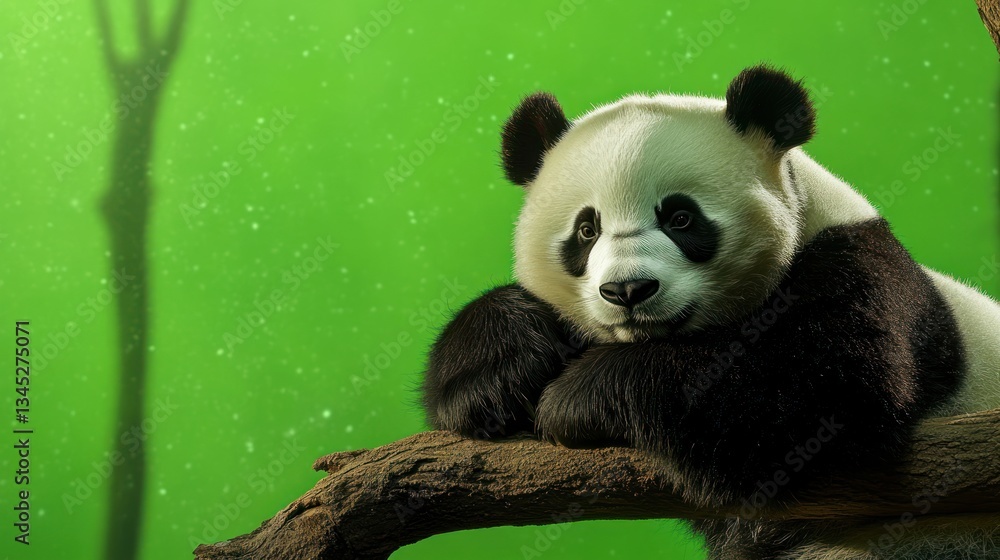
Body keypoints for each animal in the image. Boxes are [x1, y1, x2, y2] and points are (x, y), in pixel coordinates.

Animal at [421, 65, 1000, 559]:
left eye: (680, 217)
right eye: (587, 229)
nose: (628, 290)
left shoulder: (856, 266)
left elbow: (830, 391)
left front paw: (576, 398)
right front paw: (492, 377)